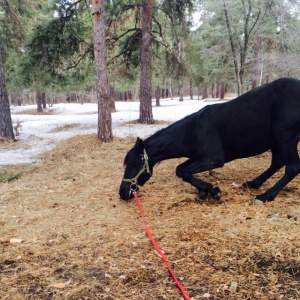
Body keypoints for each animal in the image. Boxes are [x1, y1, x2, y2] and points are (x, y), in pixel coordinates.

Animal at [119, 77, 300, 205]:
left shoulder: (214, 159)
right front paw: (205, 189)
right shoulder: (198, 156)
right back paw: (253, 183)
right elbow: (180, 169)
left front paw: (212, 190)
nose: (123, 192)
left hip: (285, 138)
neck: (192, 131)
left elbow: (185, 172)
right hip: (277, 141)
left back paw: (264, 196)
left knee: (292, 167)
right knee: (277, 162)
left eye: (134, 164)